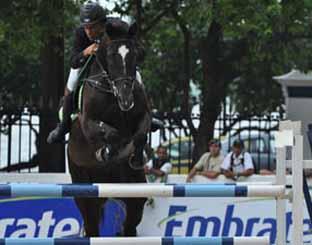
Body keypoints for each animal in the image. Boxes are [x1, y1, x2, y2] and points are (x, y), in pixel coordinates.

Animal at [67, 23, 152, 237]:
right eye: (111, 55)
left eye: (134, 55)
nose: (126, 99)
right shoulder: (88, 123)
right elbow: (112, 134)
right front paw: (105, 152)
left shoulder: (144, 116)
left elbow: (139, 135)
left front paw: (136, 157)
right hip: (84, 190)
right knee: (91, 224)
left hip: (132, 191)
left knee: (132, 219)